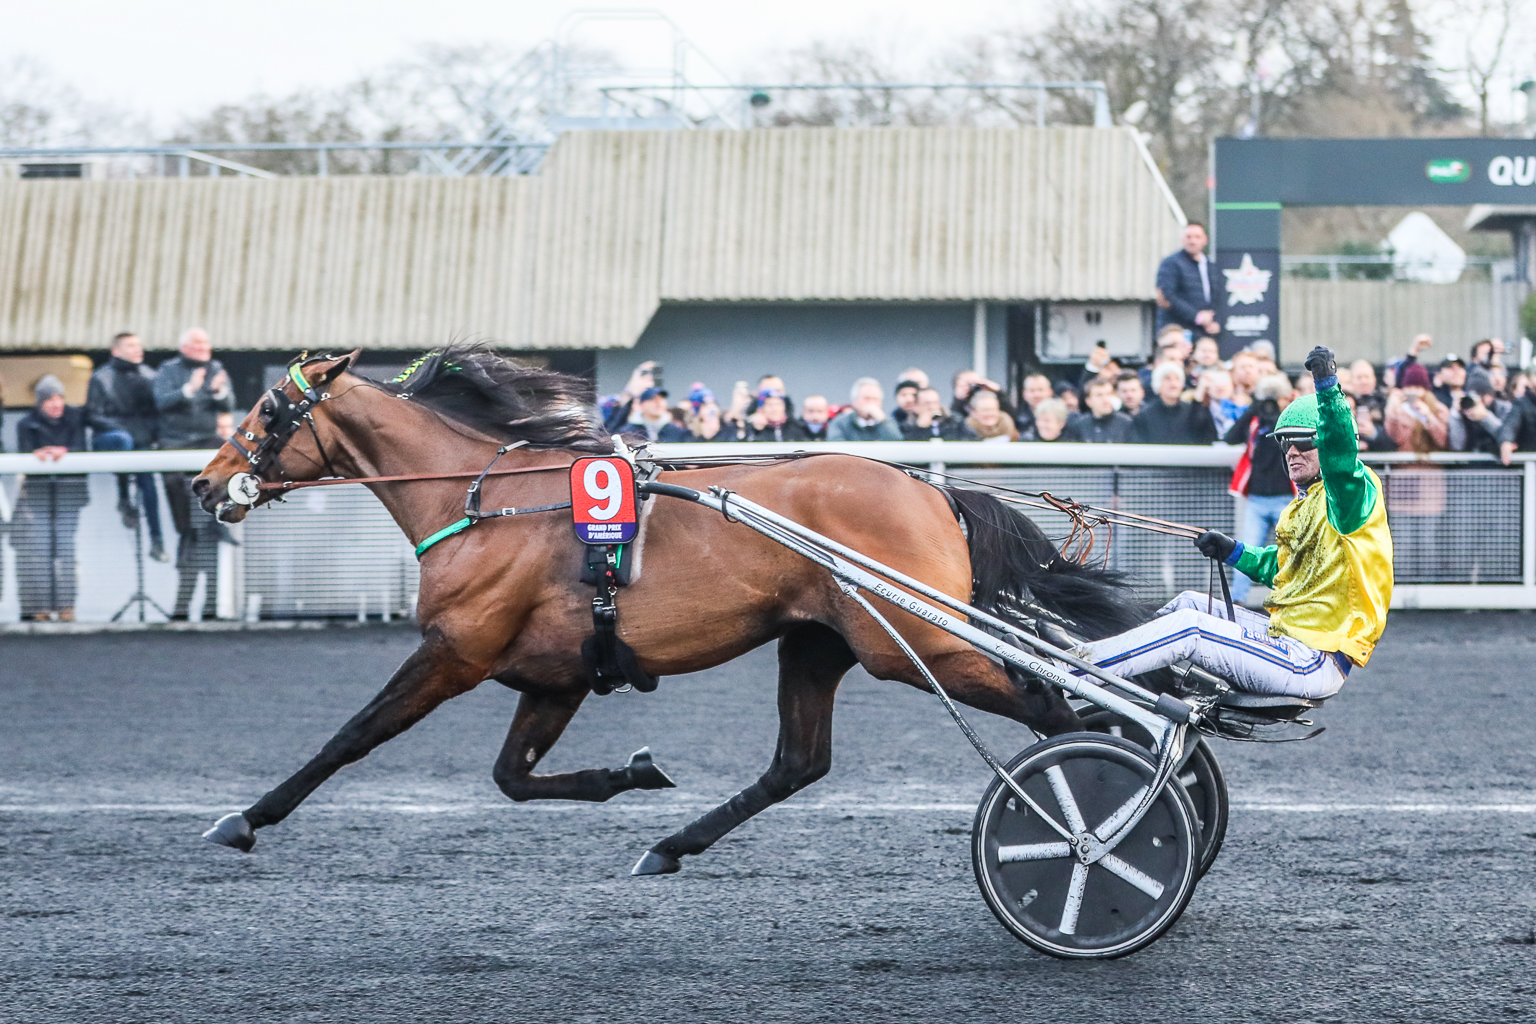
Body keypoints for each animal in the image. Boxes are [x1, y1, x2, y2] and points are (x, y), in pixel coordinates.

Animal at [192, 350, 1148, 872]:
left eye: (269, 408)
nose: (204, 485)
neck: (485, 502)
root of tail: (930, 490)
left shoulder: (454, 651)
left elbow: (350, 738)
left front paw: (244, 819)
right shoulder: (557, 674)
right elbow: (512, 777)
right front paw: (633, 773)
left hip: (912, 642)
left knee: (1047, 704)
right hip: (819, 642)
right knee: (798, 763)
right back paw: (673, 845)